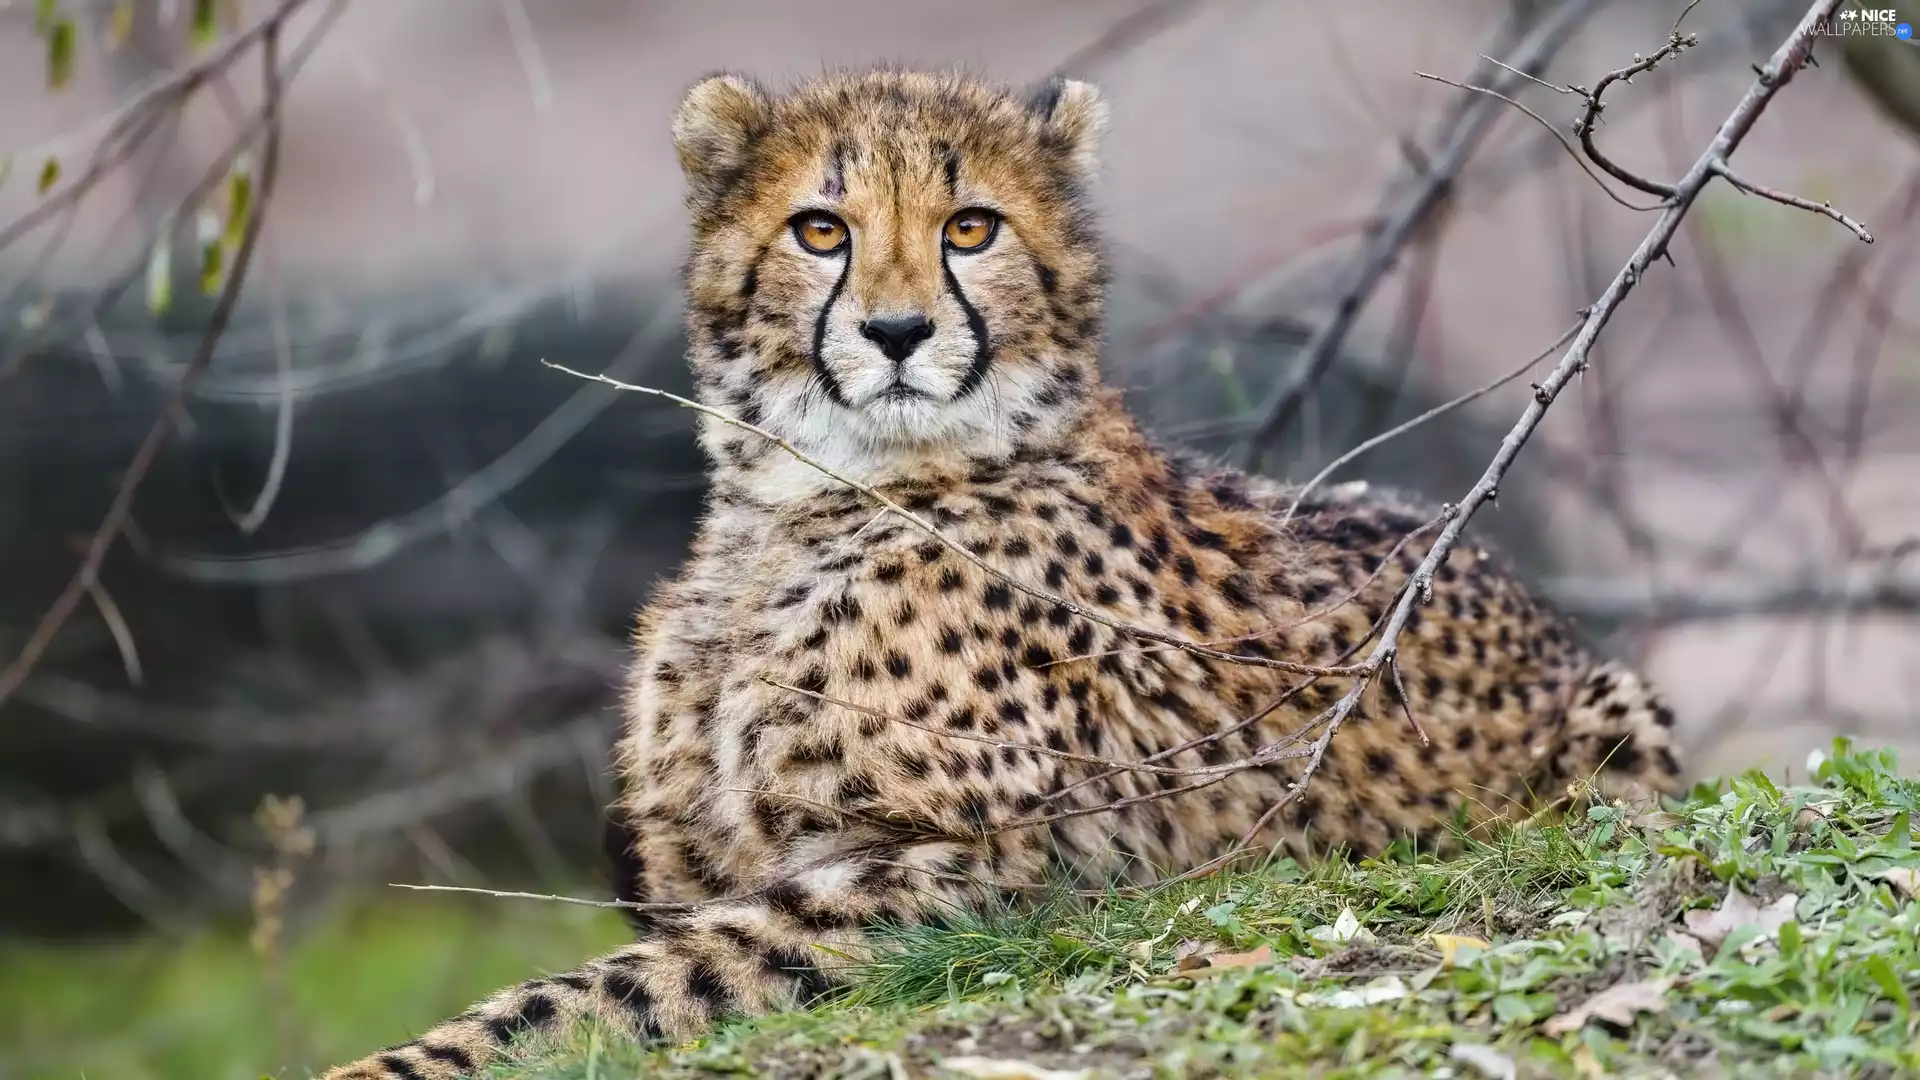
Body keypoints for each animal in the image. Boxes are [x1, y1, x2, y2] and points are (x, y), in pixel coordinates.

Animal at [319, 68, 1684, 1079]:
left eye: (970, 227)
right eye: (822, 229)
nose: (897, 332)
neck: (801, 505)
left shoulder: (994, 872)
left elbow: (600, 991)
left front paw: (393, 1062)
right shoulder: (698, 868)